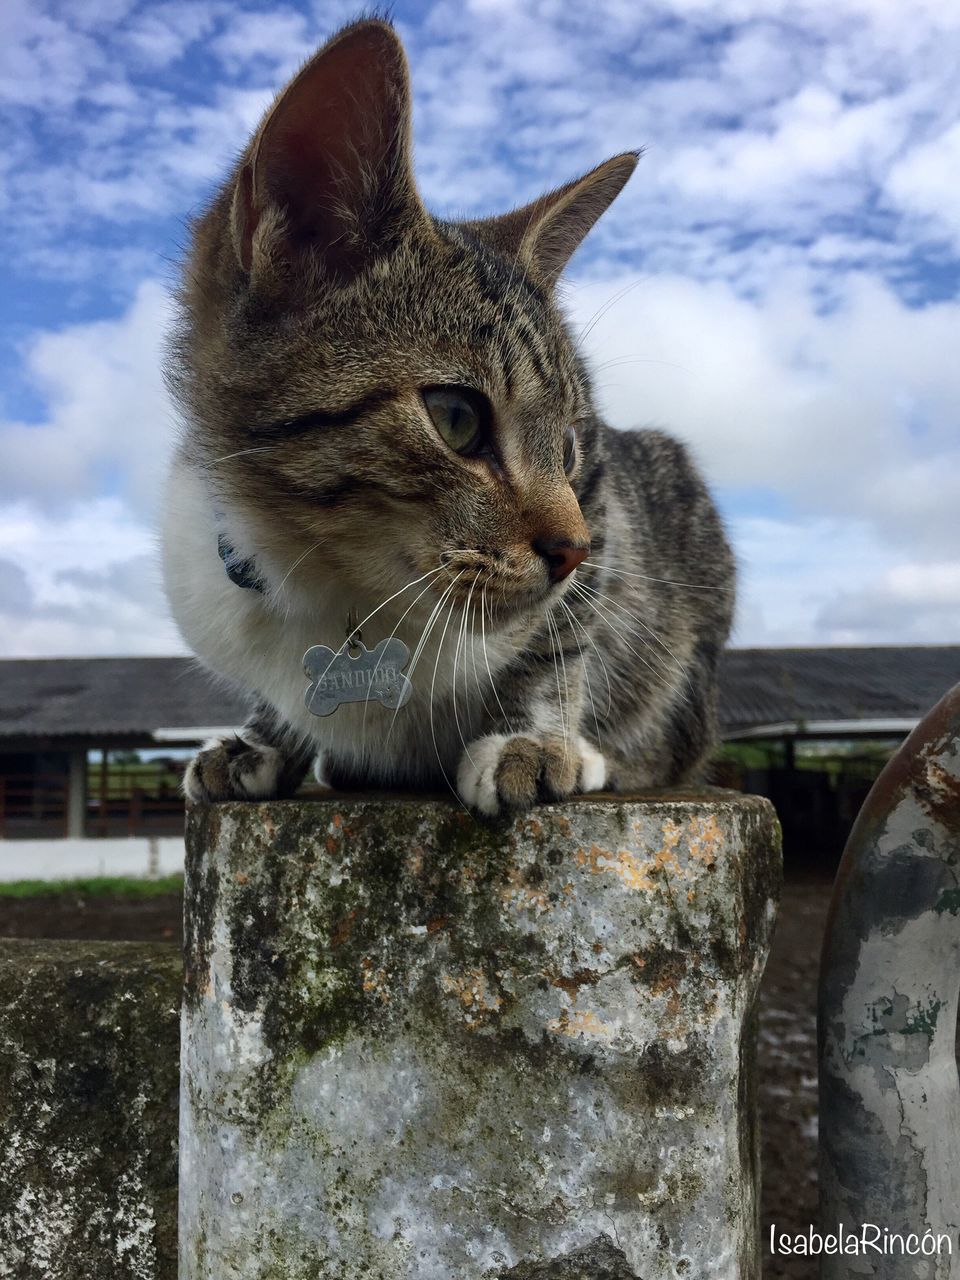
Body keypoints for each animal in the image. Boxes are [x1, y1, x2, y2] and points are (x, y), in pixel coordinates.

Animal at [165, 15, 737, 814]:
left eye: (569, 449)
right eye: (458, 418)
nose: (572, 550)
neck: (339, 585)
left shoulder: (605, 505)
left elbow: (562, 637)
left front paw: (535, 740)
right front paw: (262, 738)